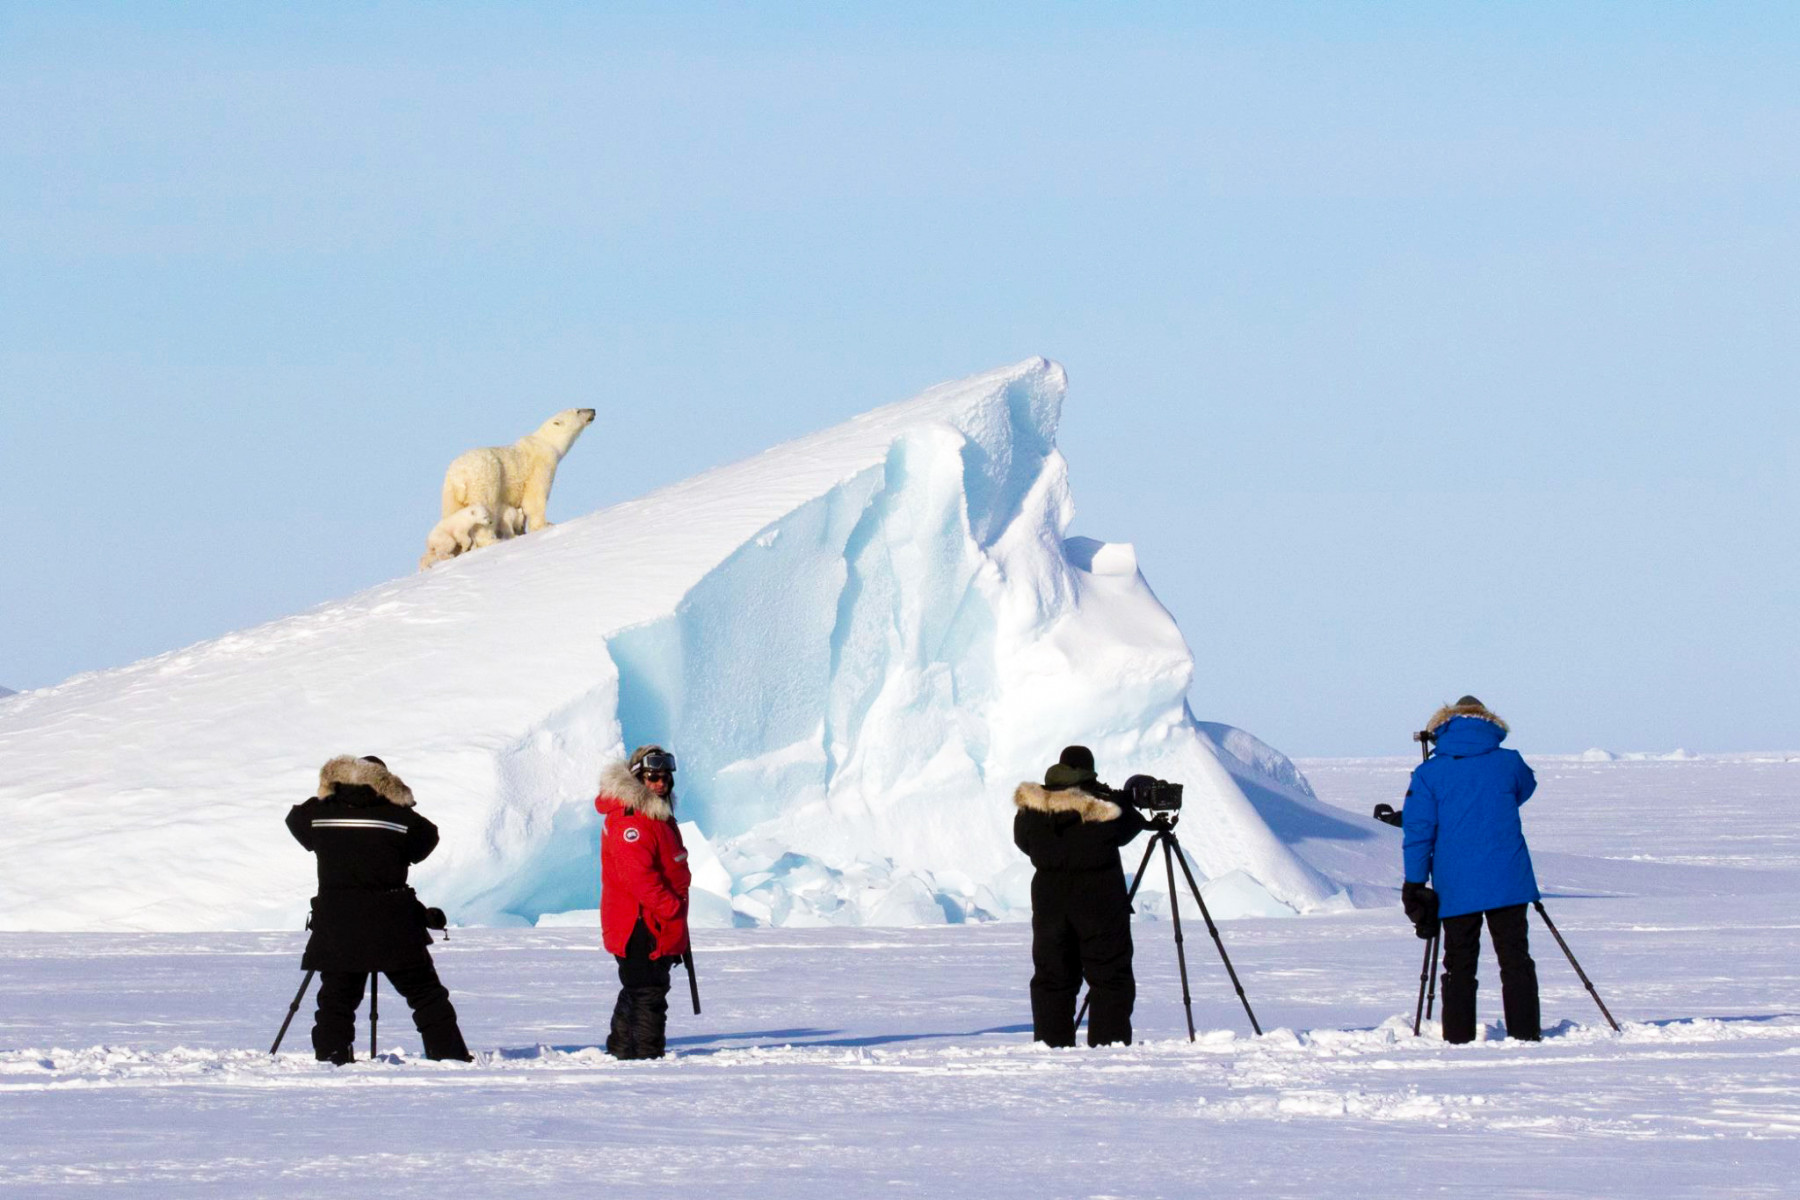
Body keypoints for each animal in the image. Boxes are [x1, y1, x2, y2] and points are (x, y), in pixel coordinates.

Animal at [441, 408, 597, 528]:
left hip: (450, 491)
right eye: (578, 410)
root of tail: (459, 475)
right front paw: (545, 524)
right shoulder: (542, 464)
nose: (593, 410)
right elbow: (534, 498)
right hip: (483, 478)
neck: (547, 442)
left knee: (452, 513)